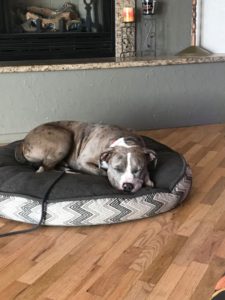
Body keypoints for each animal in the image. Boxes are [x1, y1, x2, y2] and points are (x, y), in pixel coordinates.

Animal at [14, 121, 157, 193]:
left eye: (138, 169)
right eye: (117, 169)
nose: (128, 186)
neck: (124, 140)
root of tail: (24, 141)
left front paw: (148, 180)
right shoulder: (83, 162)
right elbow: (101, 172)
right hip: (64, 137)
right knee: (43, 169)